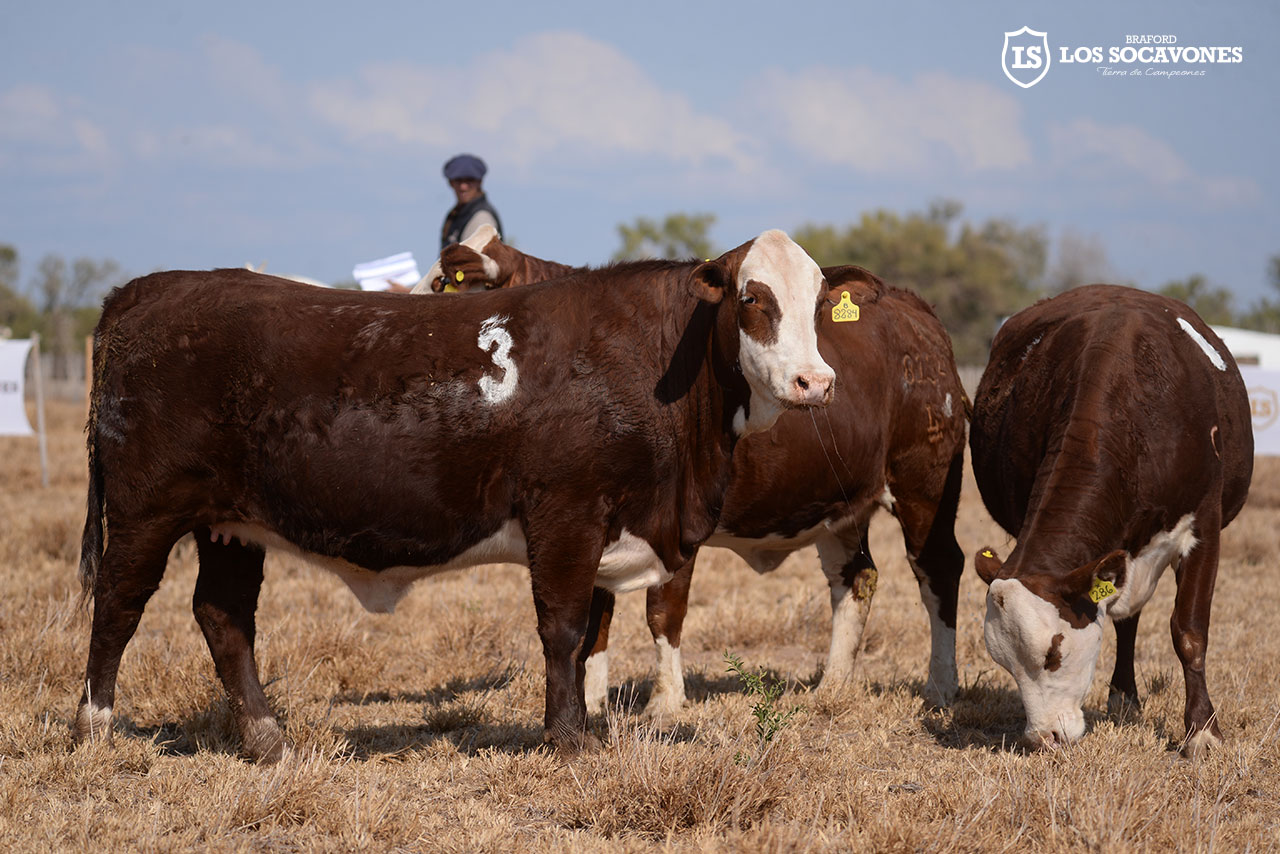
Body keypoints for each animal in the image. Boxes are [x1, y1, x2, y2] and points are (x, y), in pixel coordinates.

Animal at [77, 229, 839, 763]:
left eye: (817, 304)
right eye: (752, 298)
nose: (815, 381)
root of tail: (147, 291)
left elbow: (589, 632)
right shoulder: (566, 515)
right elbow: (564, 629)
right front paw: (568, 738)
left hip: (231, 524)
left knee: (223, 616)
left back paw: (267, 738)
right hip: (145, 511)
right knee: (118, 604)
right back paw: (94, 727)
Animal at [414, 229, 962, 717]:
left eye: (819, 304)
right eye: (750, 297)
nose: (815, 381)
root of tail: (916, 313)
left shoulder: (674, 521)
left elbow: (662, 612)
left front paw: (665, 701)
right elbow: (596, 617)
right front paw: (592, 700)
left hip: (925, 486)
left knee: (937, 570)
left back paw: (941, 686)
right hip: (840, 503)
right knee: (855, 579)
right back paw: (833, 686)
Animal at [967, 285, 1249, 752]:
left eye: (1054, 653)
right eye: (1004, 661)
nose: (1044, 738)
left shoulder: (1204, 526)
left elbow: (1189, 632)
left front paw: (1202, 732)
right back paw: (1123, 696)